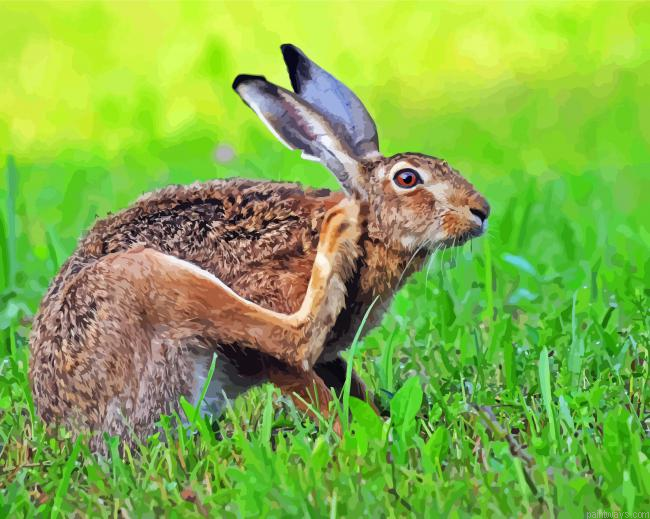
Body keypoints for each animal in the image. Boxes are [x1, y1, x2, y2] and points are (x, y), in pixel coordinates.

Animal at [29, 44, 490, 451]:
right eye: (408, 179)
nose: (481, 210)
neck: (373, 232)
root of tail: (71, 429)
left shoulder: (330, 358)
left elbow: (353, 387)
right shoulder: (274, 344)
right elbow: (311, 387)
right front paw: (360, 441)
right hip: (148, 278)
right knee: (291, 336)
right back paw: (338, 230)